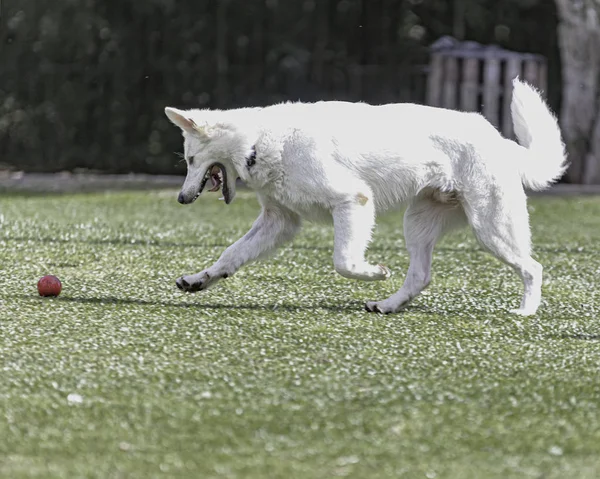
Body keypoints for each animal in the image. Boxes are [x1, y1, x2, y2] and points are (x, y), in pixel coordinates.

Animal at [165, 79, 568, 316]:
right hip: (418, 224)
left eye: (190, 160)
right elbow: (230, 255)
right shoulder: (279, 222)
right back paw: (388, 306)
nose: (181, 199)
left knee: (533, 267)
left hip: (490, 230)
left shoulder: (352, 200)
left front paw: (373, 272)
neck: (258, 142)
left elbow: (343, 261)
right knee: (420, 276)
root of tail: (500, 140)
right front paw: (200, 279)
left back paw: (525, 312)